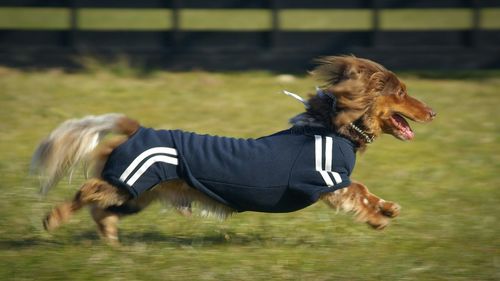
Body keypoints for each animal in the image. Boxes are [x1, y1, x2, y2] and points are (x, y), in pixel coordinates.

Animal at [31, 55, 434, 243]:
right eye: (400, 92)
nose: (433, 111)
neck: (332, 127)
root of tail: (136, 129)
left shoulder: (335, 180)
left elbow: (366, 189)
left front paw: (388, 207)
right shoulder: (328, 181)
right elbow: (358, 192)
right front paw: (378, 217)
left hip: (138, 194)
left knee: (102, 210)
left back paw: (111, 239)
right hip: (128, 182)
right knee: (87, 191)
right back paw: (53, 219)